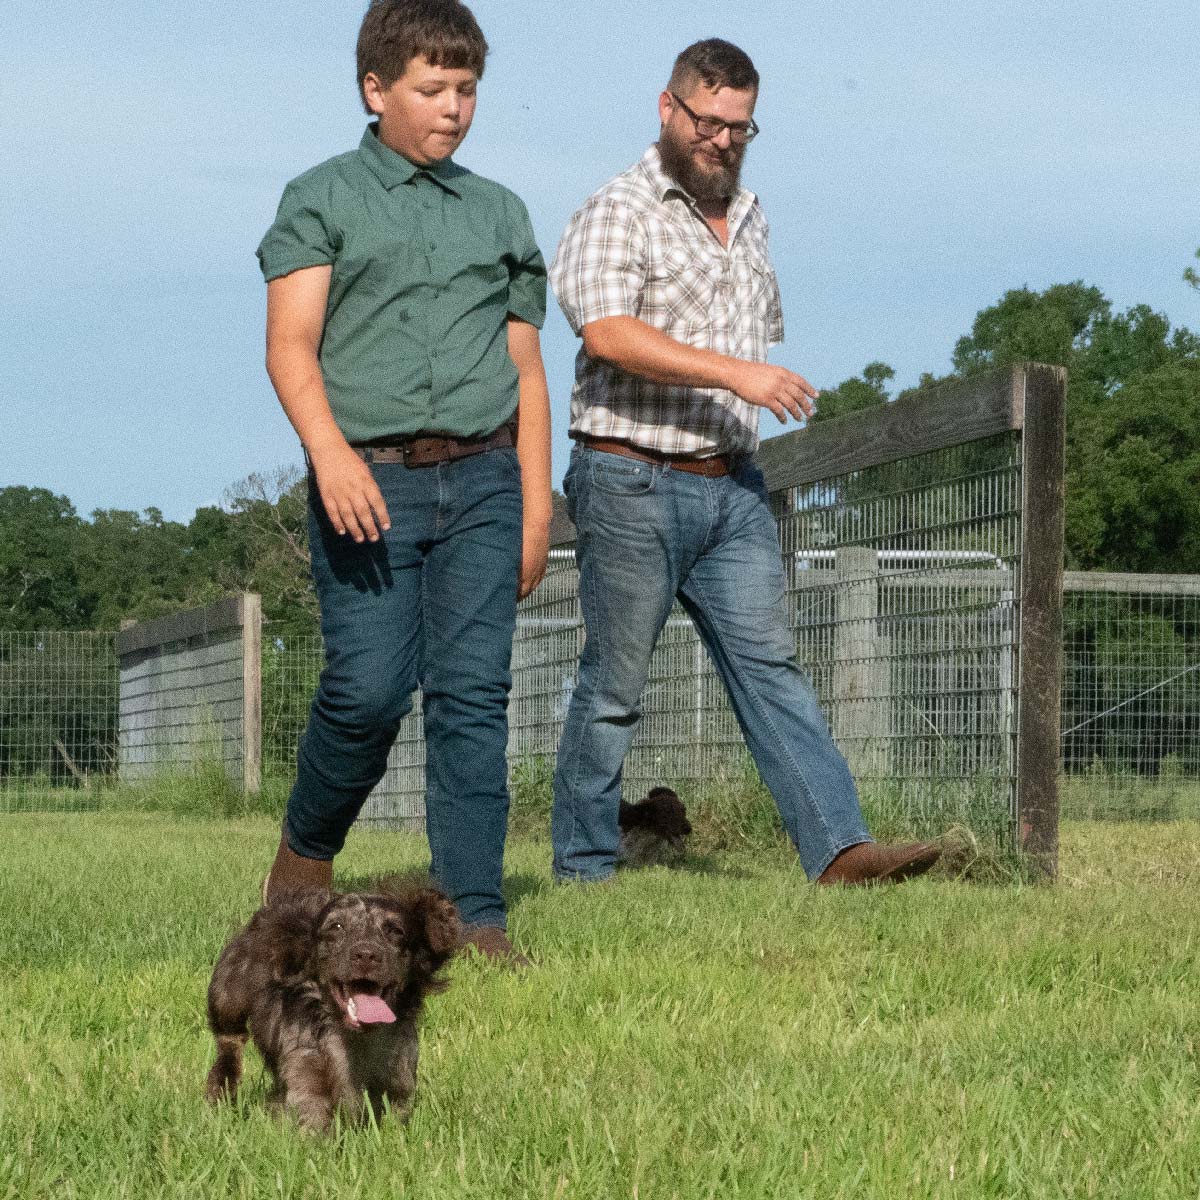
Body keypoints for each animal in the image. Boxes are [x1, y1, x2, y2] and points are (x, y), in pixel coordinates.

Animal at [204, 878, 456, 1128]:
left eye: (395, 930)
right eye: (336, 926)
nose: (366, 954)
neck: (357, 1039)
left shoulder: (398, 1078)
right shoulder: (307, 1074)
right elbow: (313, 1116)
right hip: (228, 998)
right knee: (230, 1041)